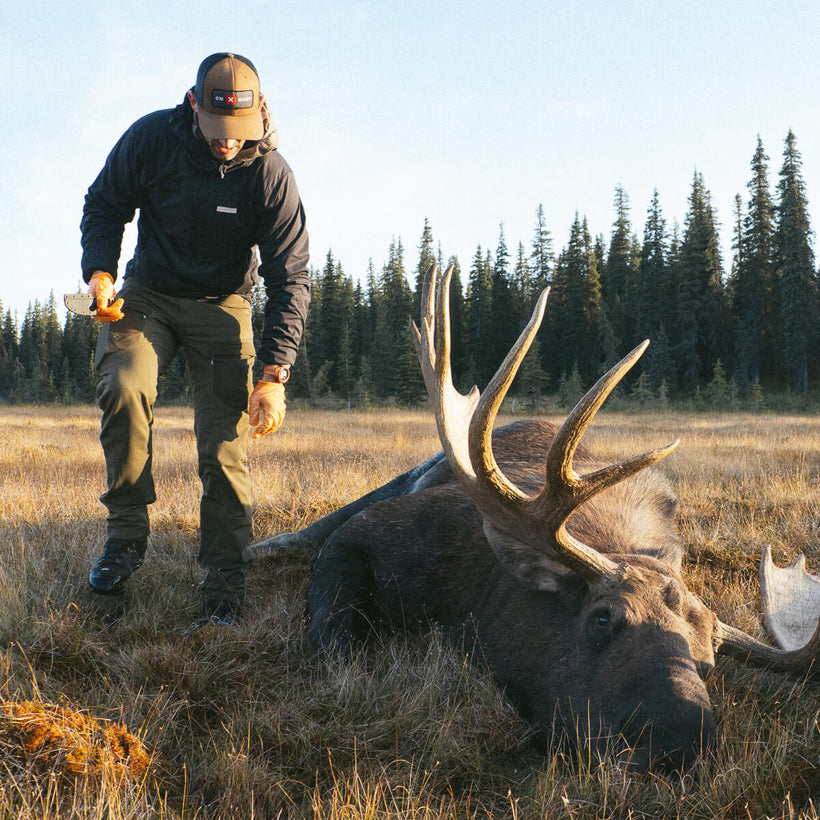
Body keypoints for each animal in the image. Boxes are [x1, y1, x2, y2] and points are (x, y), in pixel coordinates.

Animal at [252, 264, 820, 771]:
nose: (679, 745)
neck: (472, 605)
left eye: (707, 665)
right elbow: (333, 642)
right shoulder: (370, 535)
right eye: (603, 617)